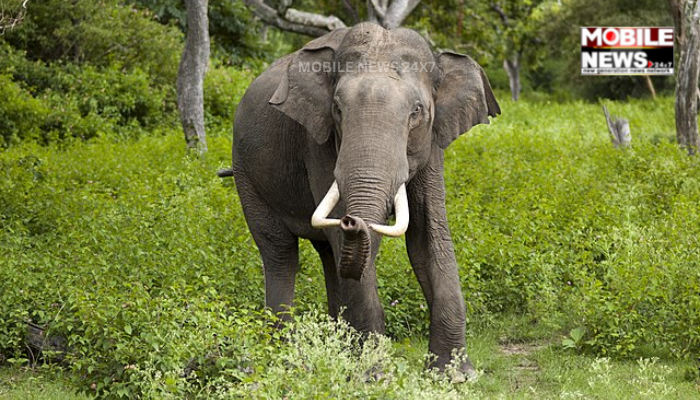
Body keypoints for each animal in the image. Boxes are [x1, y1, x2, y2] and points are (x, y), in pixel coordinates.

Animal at [221, 22, 500, 377]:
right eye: (338, 109)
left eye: (417, 112)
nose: (352, 220)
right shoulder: (318, 141)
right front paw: (374, 375)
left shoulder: (432, 143)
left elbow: (428, 237)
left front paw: (455, 376)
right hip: (246, 173)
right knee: (280, 252)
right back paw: (285, 355)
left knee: (328, 256)